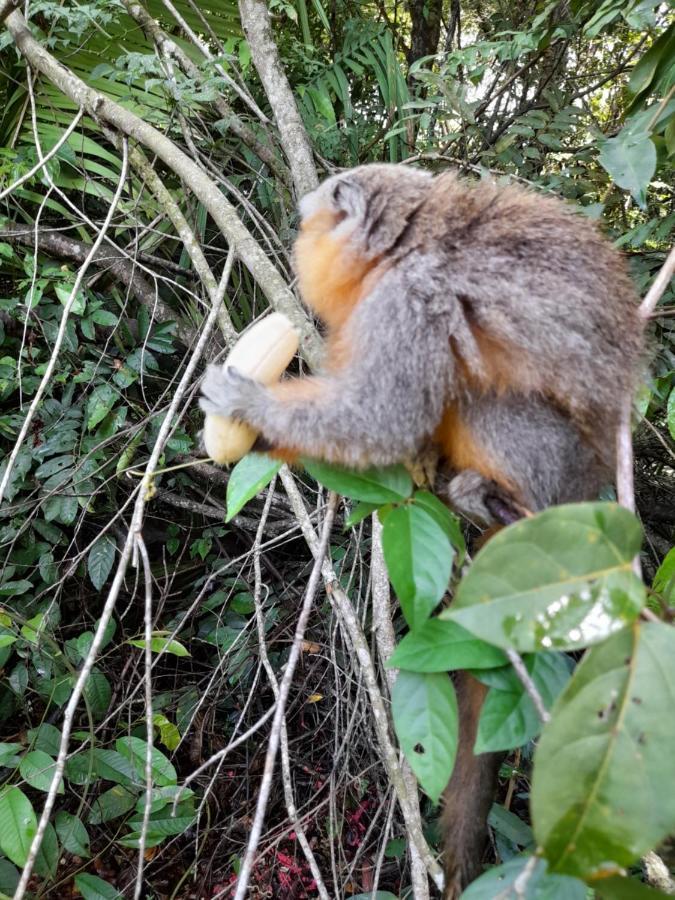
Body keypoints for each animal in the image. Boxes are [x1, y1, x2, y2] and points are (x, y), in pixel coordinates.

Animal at [199, 165, 644, 896]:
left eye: (314, 217)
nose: (297, 220)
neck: (408, 244)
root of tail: (588, 485)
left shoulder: (405, 303)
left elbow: (381, 419)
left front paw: (250, 406)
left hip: (554, 465)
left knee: (479, 391)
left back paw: (496, 501)